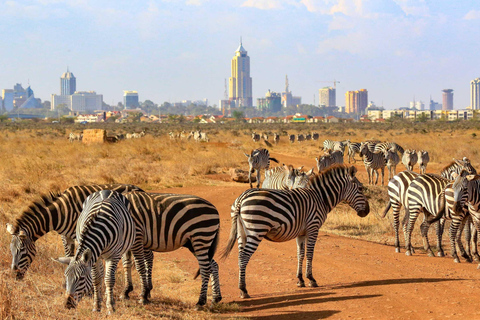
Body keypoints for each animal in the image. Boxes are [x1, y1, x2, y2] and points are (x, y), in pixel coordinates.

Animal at [5, 182, 142, 280]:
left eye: (21, 250)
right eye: (11, 250)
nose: (15, 275)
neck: (61, 212)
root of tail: (138, 188)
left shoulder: (79, 235)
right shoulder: (65, 236)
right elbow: (68, 256)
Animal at [219, 166, 370, 298]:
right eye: (360, 188)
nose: (367, 212)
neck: (320, 198)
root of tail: (241, 198)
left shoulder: (301, 233)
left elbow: (300, 254)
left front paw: (300, 280)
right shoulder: (313, 227)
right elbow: (310, 254)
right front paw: (311, 279)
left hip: (242, 232)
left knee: (240, 257)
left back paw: (241, 289)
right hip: (256, 230)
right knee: (244, 257)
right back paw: (244, 290)